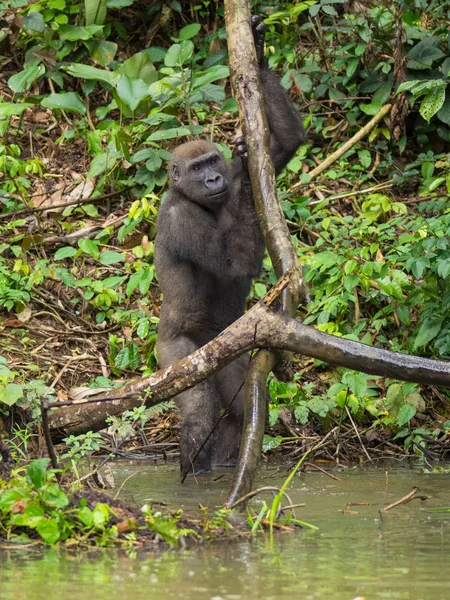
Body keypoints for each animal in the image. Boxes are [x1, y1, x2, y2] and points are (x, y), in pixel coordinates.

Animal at [155, 15, 306, 478]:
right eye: (196, 168)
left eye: (211, 162)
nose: (213, 179)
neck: (193, 197)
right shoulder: (179, 217)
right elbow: (231, 263)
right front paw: (241, 153)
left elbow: (285, 145)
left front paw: (256, 47)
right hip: (175, 357)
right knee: (199, 412)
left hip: (225, 347)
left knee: (240, 407)